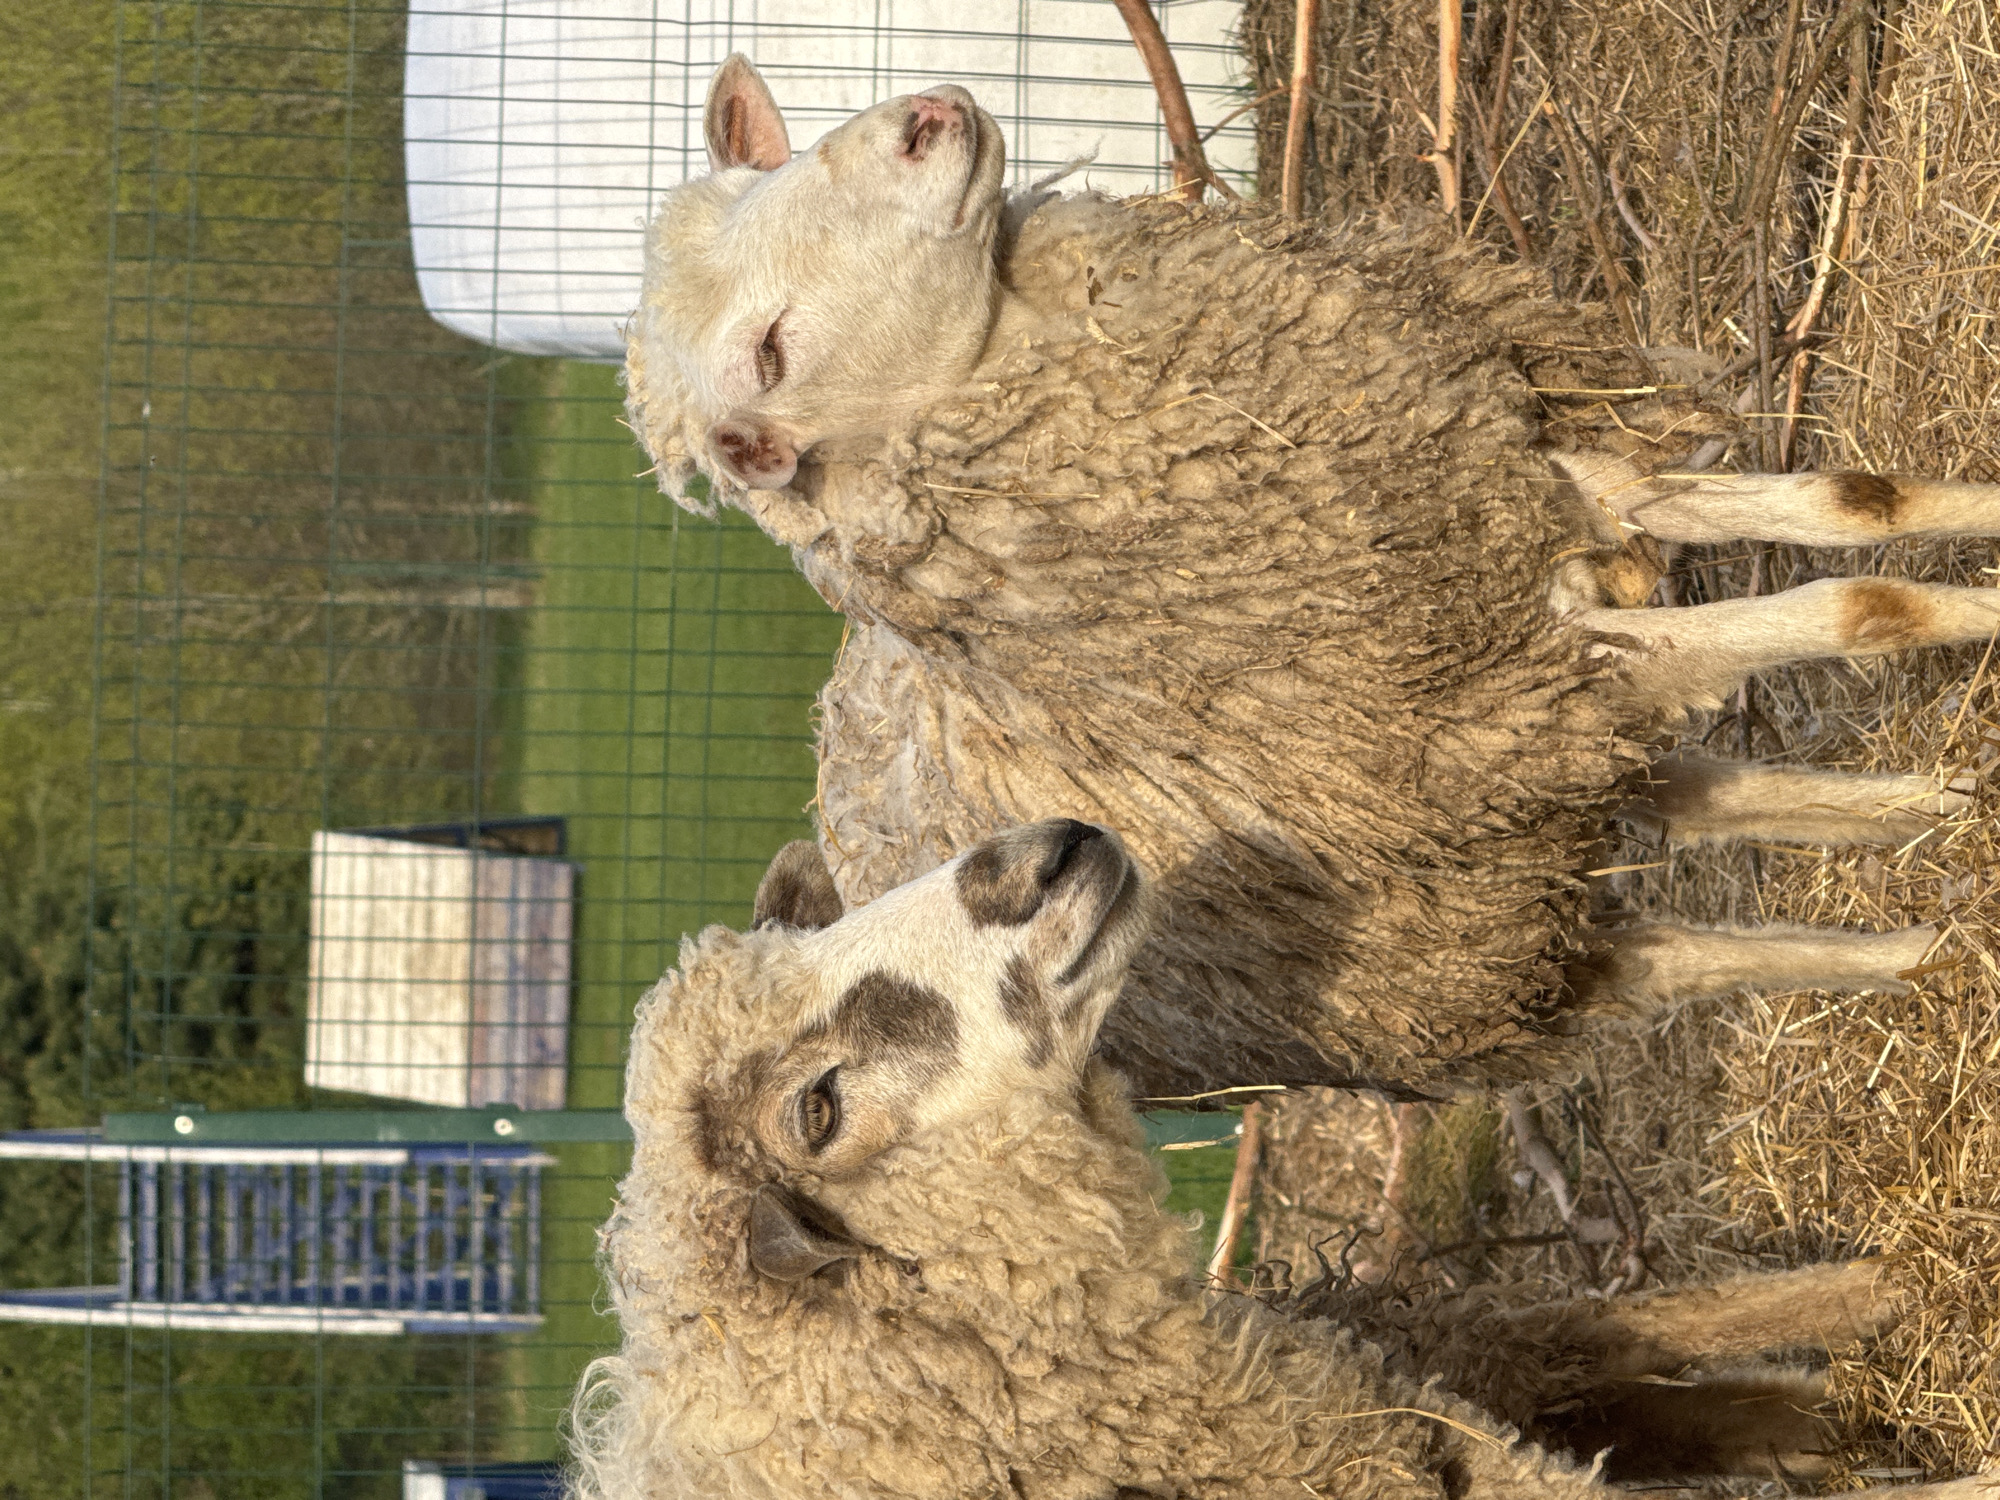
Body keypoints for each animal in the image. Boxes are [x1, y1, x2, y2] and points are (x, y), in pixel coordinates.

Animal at [623, 57, 1996, 1105]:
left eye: (769, 172)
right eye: (770, 352)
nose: (928, 118)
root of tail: (834, 850)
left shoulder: (1531, 487)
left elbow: (1847, 505)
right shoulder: (1498, 692)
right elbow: (1851, 607)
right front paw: (1974, 617)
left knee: (1714, 815)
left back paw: (1923, 861)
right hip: (1425, 970)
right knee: (1674, 953)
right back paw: (1925, 932)